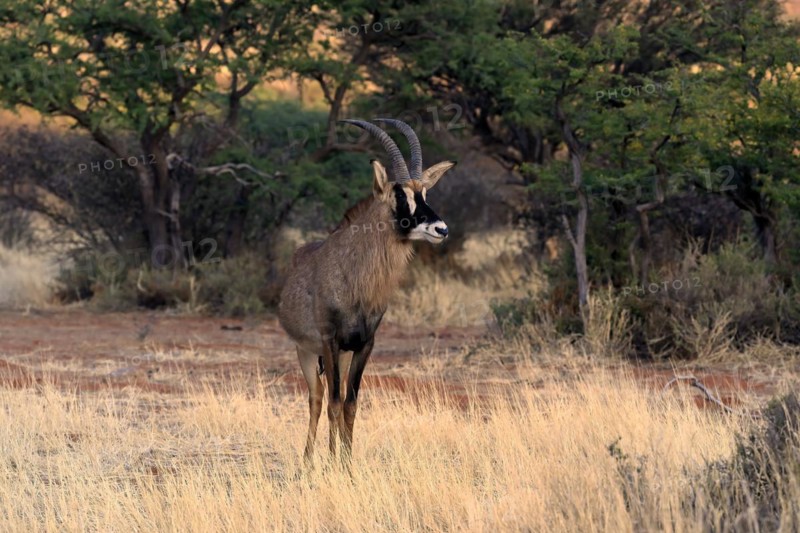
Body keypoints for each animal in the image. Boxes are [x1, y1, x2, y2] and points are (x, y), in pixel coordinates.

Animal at [278, 118, 456, 463]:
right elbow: (333, 403)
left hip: (340, 355)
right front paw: (332, 464)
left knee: (329, 397)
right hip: (306, 350)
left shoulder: (363, 345)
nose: (440, 229)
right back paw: (307, 462)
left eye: (424, 192)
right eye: (400, 196)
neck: (355, 278)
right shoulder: (330, 341)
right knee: (317, 398)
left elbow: (350, 403)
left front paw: (347, 464)